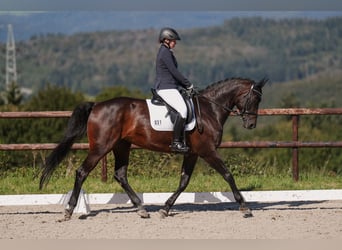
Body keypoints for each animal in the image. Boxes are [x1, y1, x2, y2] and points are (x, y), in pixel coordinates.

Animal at [38, 76, 268, 221]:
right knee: (82, 172)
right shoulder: (207, 151)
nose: (251, 125)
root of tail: (97, 106)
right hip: (101, 147)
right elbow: (228, 175)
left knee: (120, 175)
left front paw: (165, 209)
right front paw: (245, 207)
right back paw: (69, 210)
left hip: (121, 146)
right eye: (255, 98)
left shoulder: (193, 153)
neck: (210, 109)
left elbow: (184, 182)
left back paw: (141, 209)